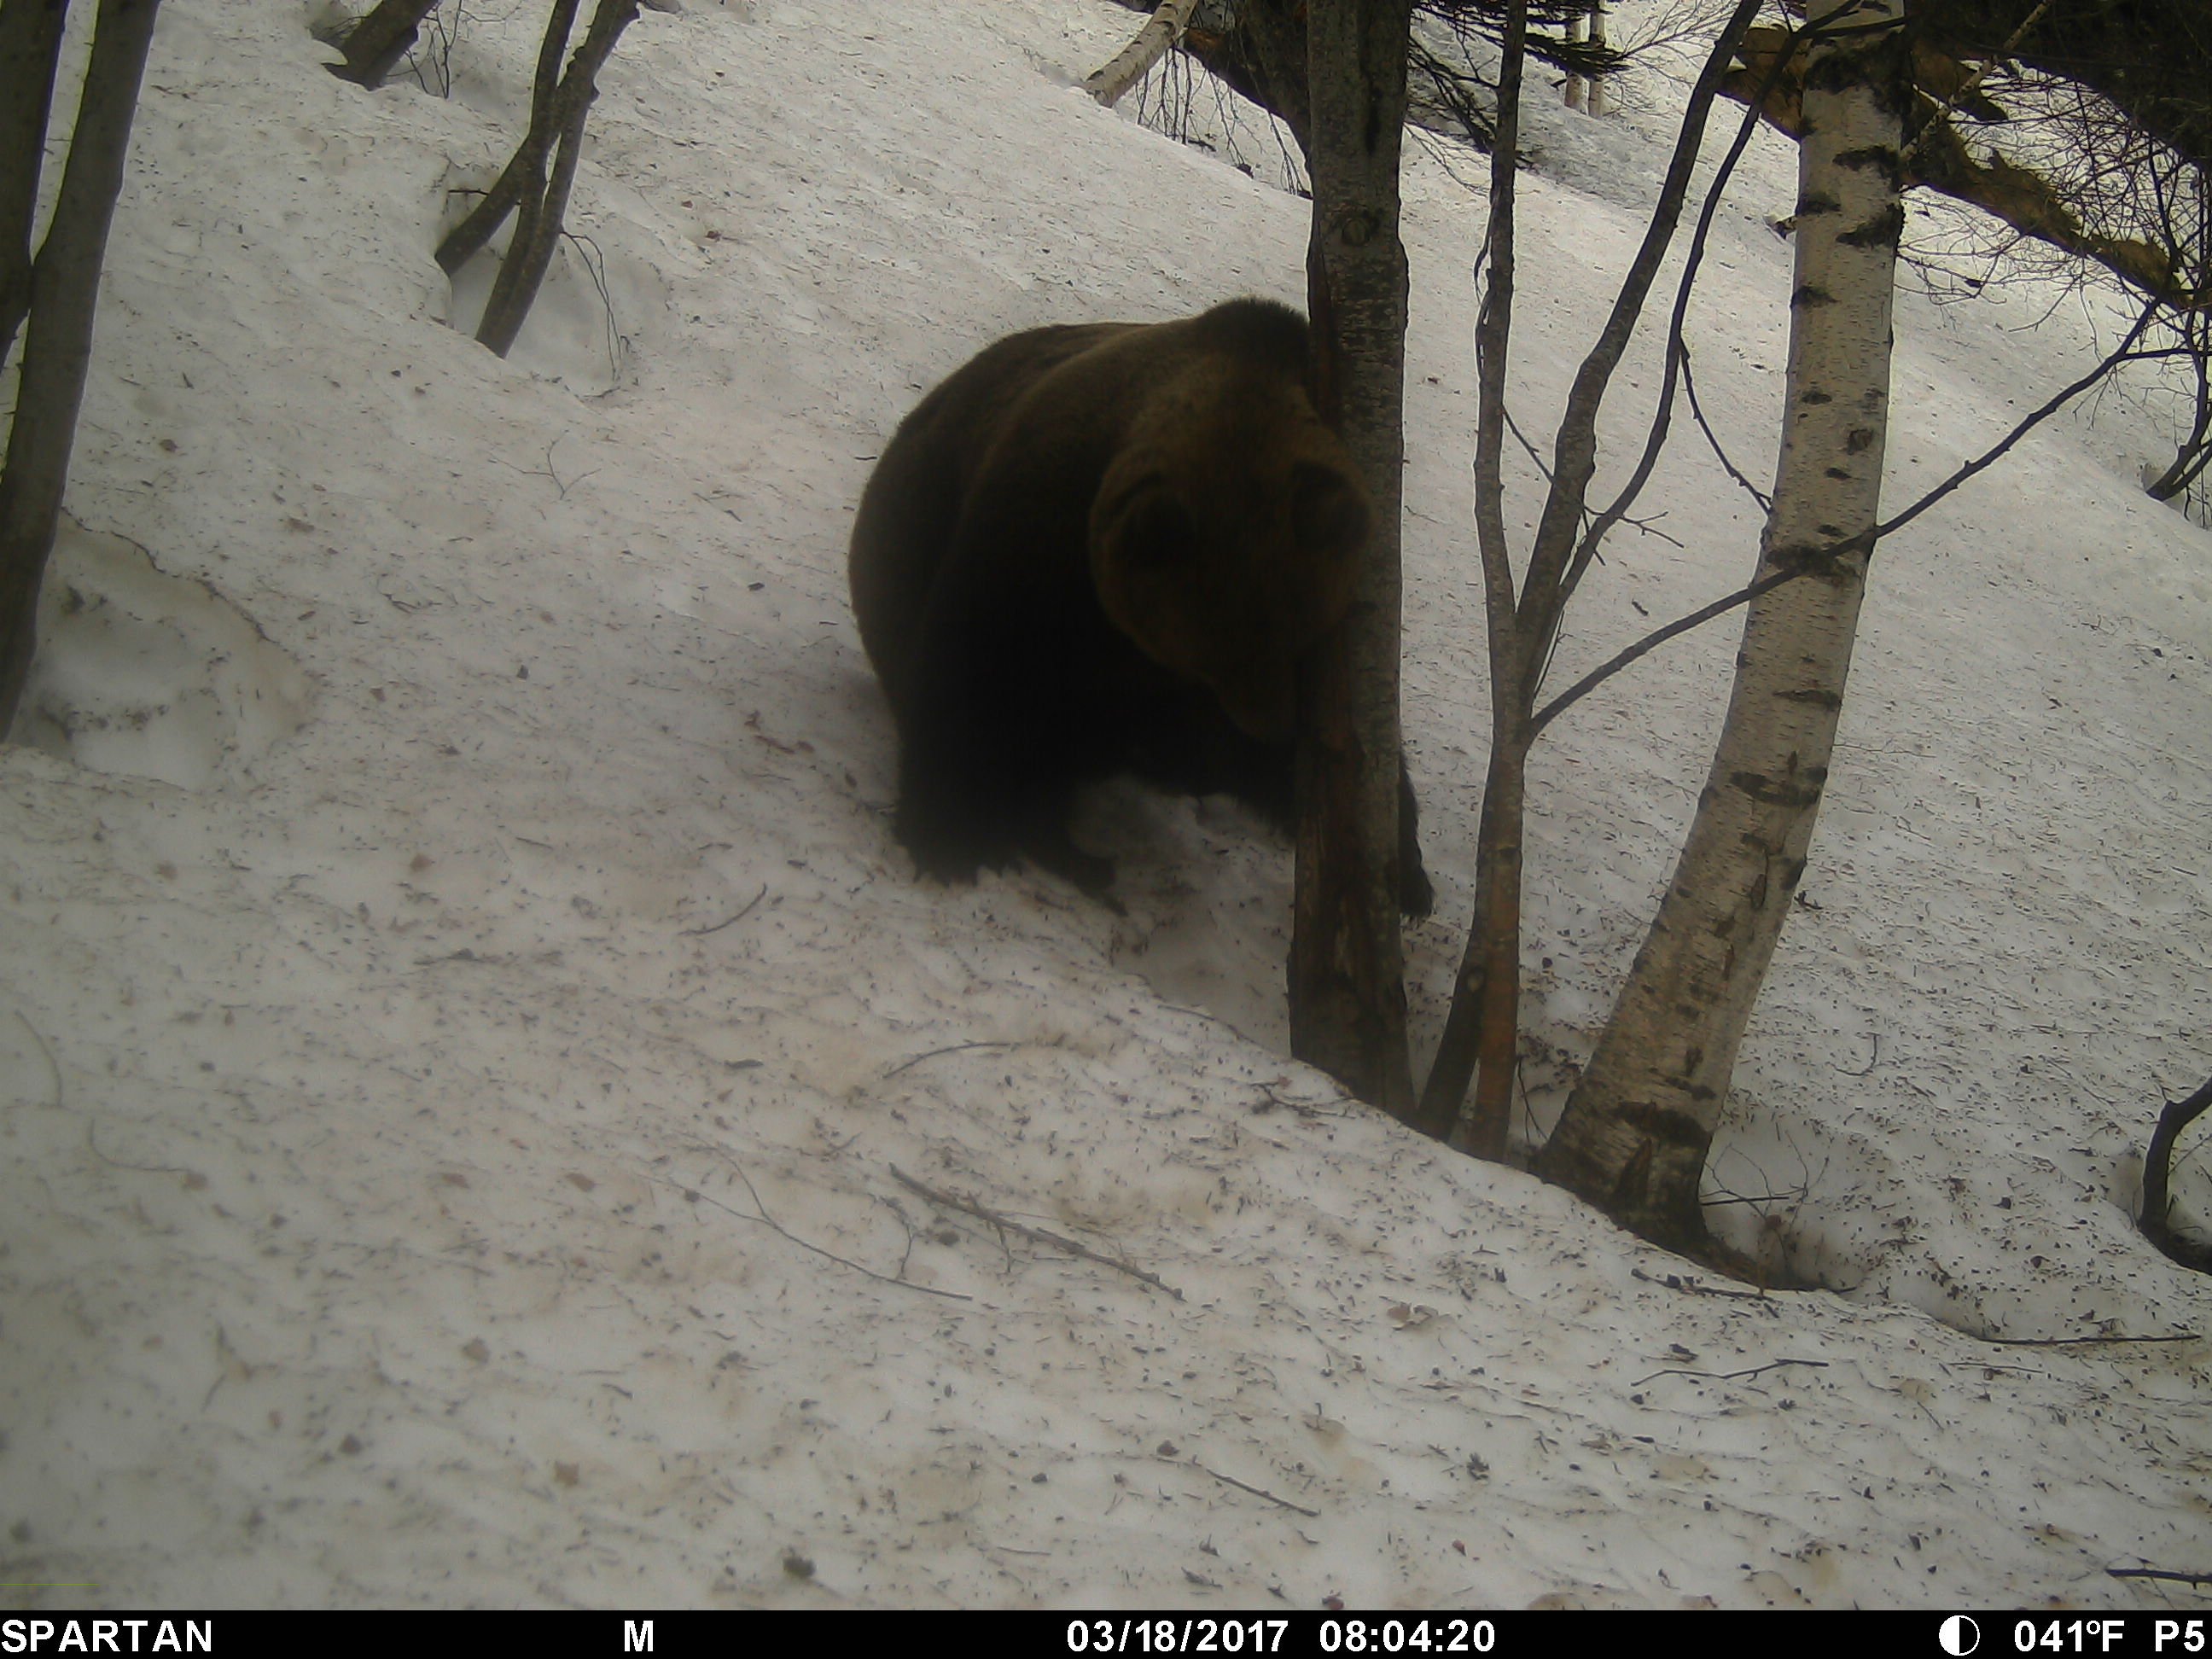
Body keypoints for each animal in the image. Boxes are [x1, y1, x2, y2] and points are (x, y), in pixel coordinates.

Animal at [845, 303, 1433, 924]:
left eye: (1301, 640)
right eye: (1210, 662)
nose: (1273, 728)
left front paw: (1406, 872)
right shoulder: (1040, 535)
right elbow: (975, 672)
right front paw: (949, 838)